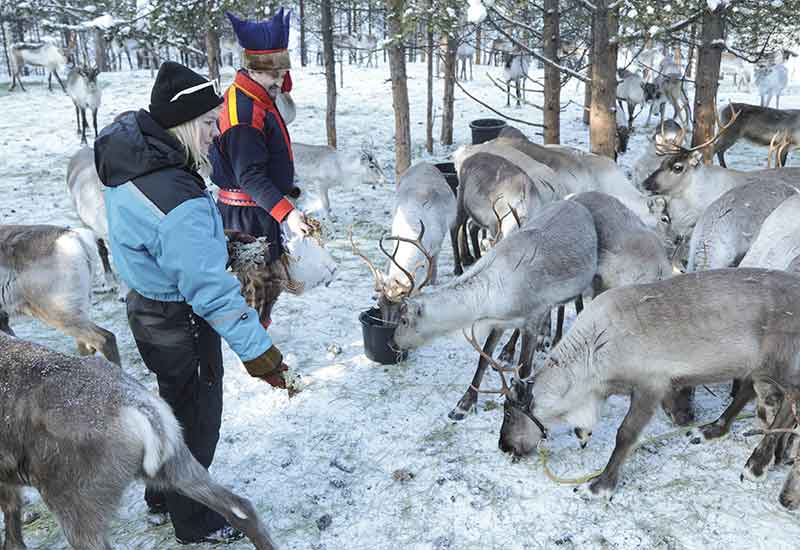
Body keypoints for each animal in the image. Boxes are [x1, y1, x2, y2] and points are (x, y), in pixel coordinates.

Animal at [495, 268, 800, 505]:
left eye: (508, 414)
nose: (503, 446)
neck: (591, 351)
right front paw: (583, 434)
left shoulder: (651, 384)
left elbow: (625, 435)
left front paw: (600, 486)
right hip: (755, 363)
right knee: (749, 387)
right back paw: (712, 429)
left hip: (782, 364)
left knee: (788, 403)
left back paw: (756, 464)